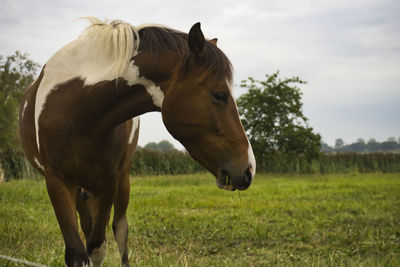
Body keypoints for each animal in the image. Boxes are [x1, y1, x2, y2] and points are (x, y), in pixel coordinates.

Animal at [18, 17, 256, 266]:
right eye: (220, 95)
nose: (249, 169)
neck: (77, 109)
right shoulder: (57, 181)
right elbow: (78, 253)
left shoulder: (109, 180)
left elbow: (97, 246)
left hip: (120, 180)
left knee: (119, 228)